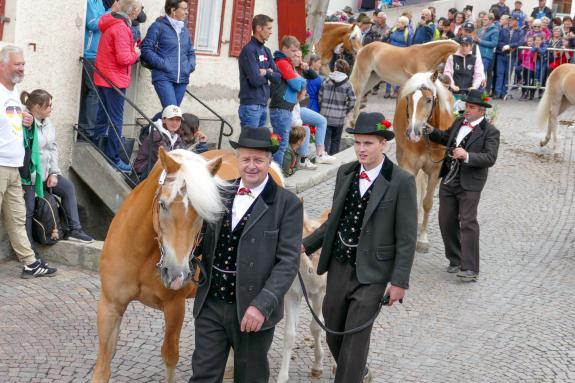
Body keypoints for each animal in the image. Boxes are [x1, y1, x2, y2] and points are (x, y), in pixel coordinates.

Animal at [394, 73, 456, 252]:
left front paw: (422, 239)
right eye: (409, 98)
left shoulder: (435, 171)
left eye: (429, 100)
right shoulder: (409, 166)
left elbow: (427, 203)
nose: (412, 132)